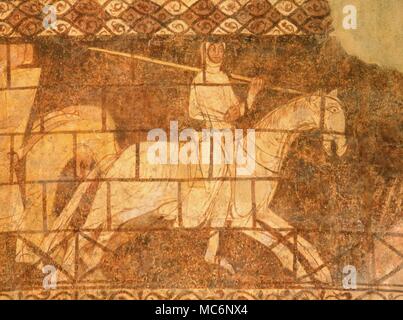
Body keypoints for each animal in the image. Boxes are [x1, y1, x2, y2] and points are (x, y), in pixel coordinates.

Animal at [18, 89, 348, 282]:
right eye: (332, 111)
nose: (340, 147)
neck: (254, 157)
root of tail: (116, 157)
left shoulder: (260, 214)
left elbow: (295, 234)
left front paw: (322, 273)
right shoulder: (244, 221)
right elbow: (278, 244)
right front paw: (302, 272)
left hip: (125, 220)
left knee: (90, 247)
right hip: (108, 211)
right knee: (79, 239)